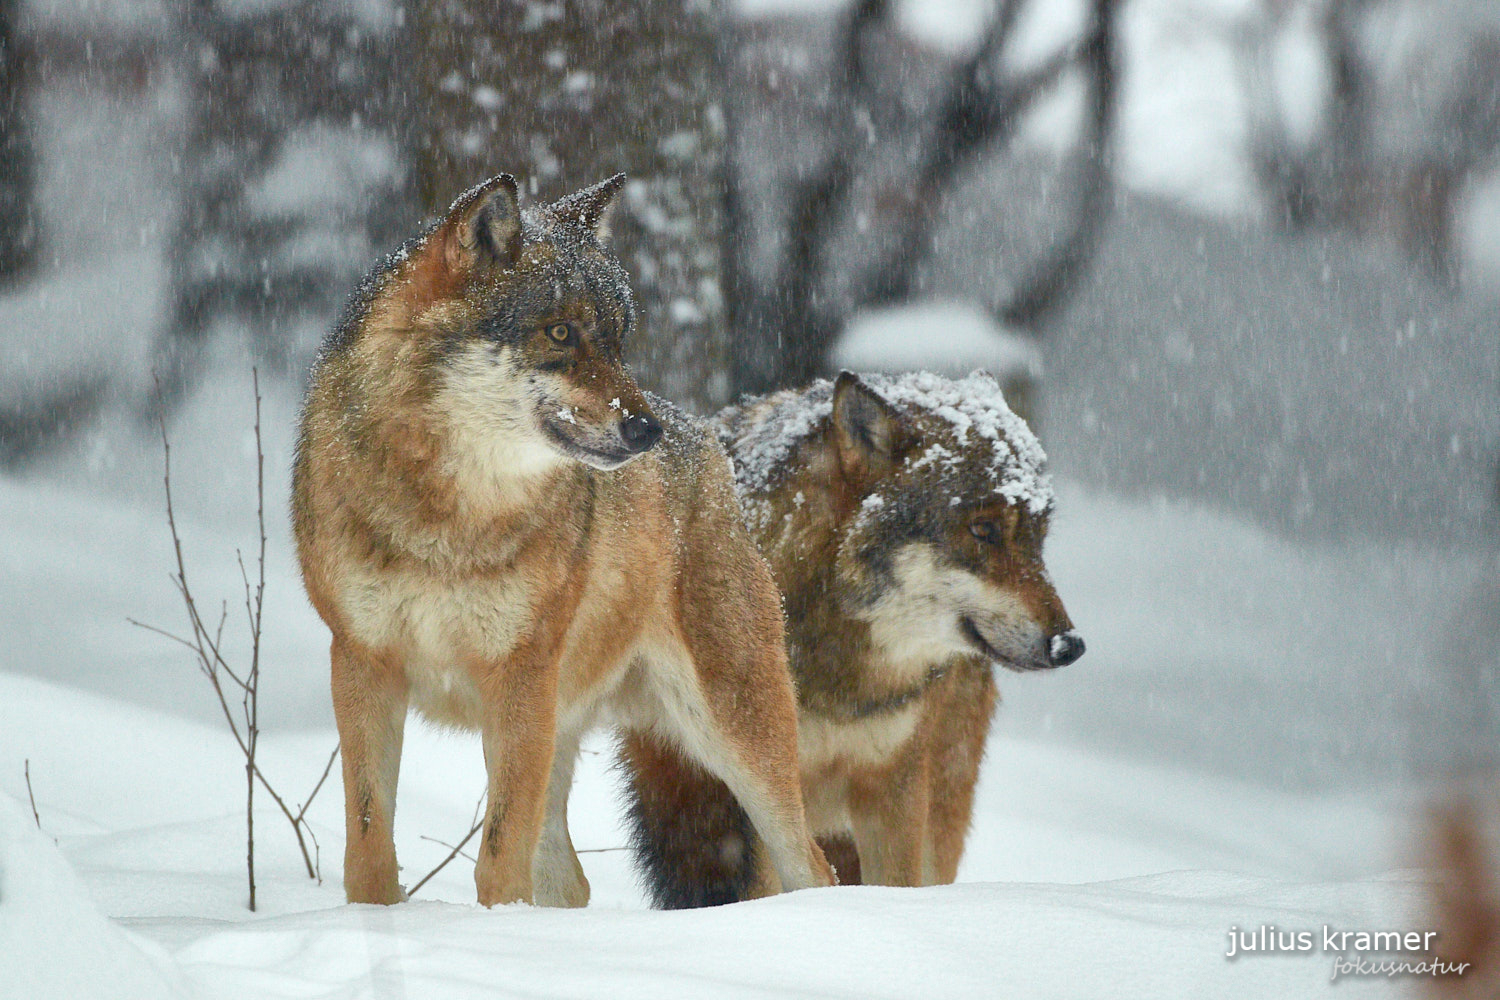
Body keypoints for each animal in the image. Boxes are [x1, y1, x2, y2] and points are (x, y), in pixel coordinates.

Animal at [289, 176, 834, 911]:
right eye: (560, 332)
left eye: (618, 340)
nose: (645, 431)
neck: (446, 515)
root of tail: (710, 444)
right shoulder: (361, 663)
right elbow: (369, 846)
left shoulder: (518, 675)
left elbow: (498, 860)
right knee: (570, 880)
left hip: (730, 730)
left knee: (814, 866)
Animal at [615, 371, 1086, 905]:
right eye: (983, 530)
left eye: (1038, 537)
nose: (1069, 645)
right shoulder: (764, 797)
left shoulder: (895, 790)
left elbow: (896, 882)